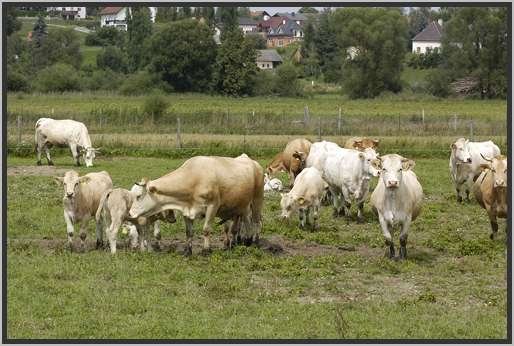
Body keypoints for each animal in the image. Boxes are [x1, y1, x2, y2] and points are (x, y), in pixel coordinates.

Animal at [128, 154, 264, 254]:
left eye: (138, 196)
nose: (129, 213)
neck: (194, 178)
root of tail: (252, 161)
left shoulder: (212, 206)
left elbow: (206, 229)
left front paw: (206, 250)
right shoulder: (186, 210)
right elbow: (189, 232)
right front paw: (188, 251)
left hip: (257, 200)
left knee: (256, 222)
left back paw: (255, 241)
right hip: (239, 207)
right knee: (240, 225)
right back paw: (241, 242)